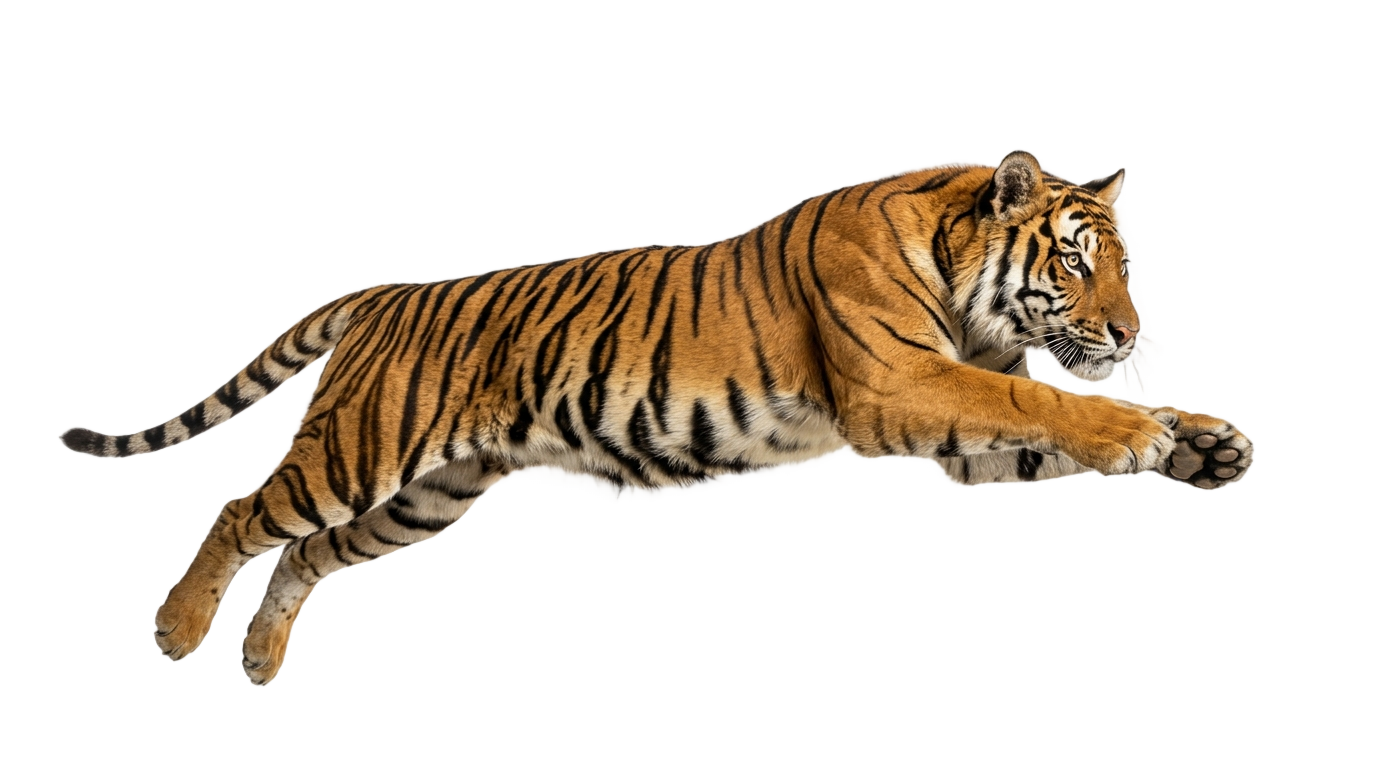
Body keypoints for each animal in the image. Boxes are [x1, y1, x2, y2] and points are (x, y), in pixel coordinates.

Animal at [61, 151, 1252, 682]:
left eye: (1126, 266)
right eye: (1075, 263)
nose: (1129, 333)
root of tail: (385, 293)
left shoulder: (932, 420)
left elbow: (1034, 422)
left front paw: (1201, 441)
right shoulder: (896, 388)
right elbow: (1034, 394)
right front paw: (1139, 431)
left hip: (430, 494)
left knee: (313, 553)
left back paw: (262, 657)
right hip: (363, 448)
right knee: (242, 510)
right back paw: (179, 631)